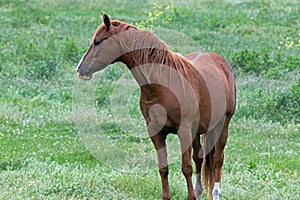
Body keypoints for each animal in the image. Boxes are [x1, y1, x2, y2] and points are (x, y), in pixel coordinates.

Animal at [77, 13, 237, 199]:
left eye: (98, 41)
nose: (80, 69)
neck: (162, 84)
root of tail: (222, 64)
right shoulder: (156, 132)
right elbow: (164, 168)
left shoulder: (184, 132)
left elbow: (186, 168)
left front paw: (190, 195)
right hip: (197, 131)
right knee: (199, 157)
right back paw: (198, 191)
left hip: (222, 125)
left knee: (218, 159)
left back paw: (215, 193)